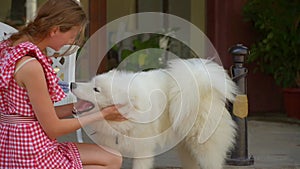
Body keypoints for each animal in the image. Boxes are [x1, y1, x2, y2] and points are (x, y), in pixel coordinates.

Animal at [71, 57, 238, 168]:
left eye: (96, 89)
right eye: (91, 82)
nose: (72, 84)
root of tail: (202, 84)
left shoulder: (142, 152)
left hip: (203, 147)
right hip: (186, 149)